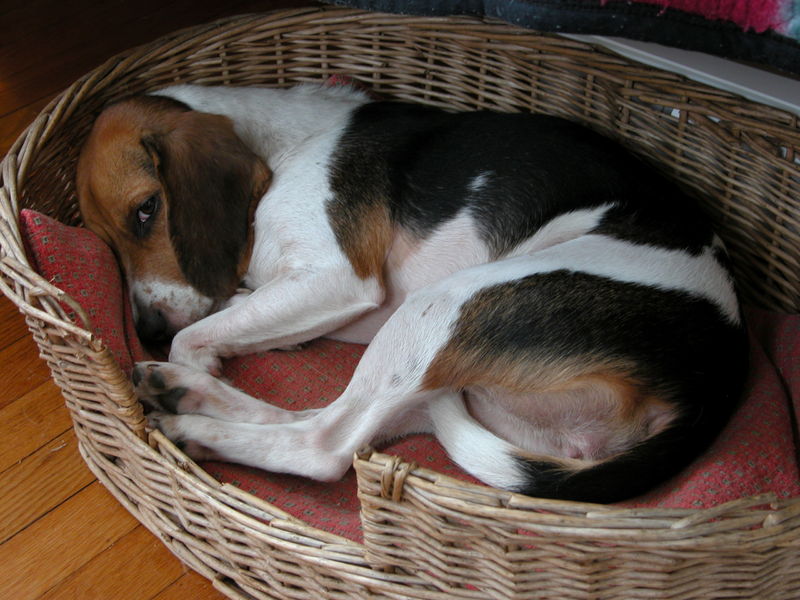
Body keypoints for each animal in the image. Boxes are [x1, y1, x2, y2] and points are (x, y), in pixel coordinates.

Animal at [78, 83, 748, 502]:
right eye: (105, 242)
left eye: (147, 211)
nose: (147, 331)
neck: (280, 143)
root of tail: (716, 383)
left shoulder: (338, 279)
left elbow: (196, 336)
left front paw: (195, 355)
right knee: (341, 421)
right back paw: (185, 394)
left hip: (443, 307)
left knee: (324, 444)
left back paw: (192, 420)